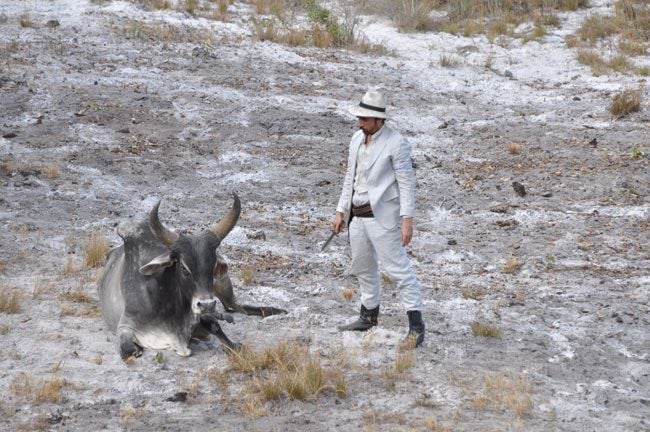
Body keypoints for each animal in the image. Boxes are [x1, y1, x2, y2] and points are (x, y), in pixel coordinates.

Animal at [97, 194, 284, 360]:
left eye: (213, 267)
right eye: (185, 269)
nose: (207, 305)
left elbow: (221, 333)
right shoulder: (125, 326)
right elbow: (130, 351)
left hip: (223, 286)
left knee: (236, 307)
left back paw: (274, 310)